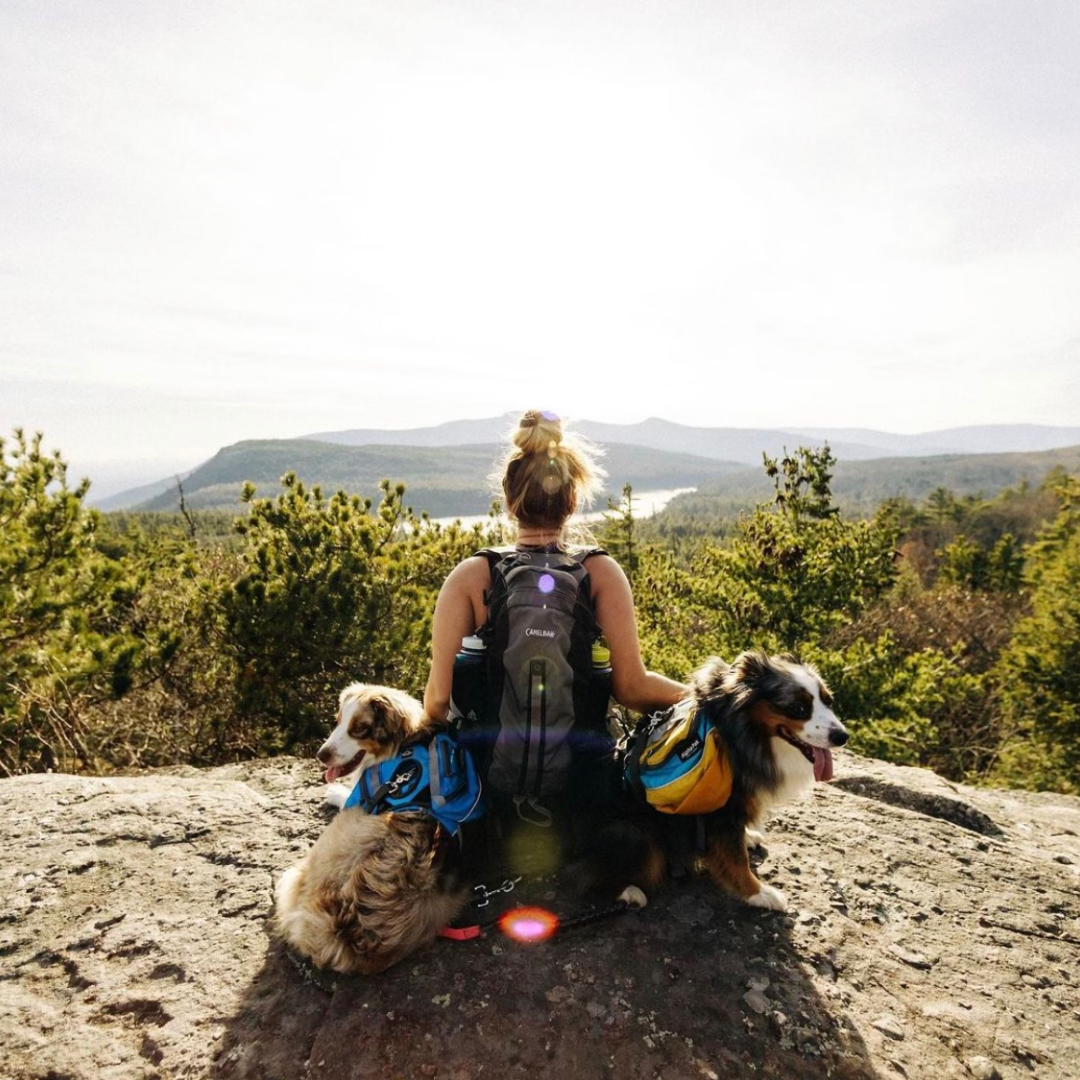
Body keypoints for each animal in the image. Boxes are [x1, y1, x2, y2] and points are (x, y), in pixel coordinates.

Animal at [270, 682, 473, 980]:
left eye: (359, 729)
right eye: (337, 721)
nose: (321, 755)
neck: (405, 744)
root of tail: (346, 930)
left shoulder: (360, 800)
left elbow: (347, 795)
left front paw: (335, 791)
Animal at [578, 648, 846, 911]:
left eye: (829, 702)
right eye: (798, 708)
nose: (843, 736)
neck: (741, 732)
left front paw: (748, 837)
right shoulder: (721, 812)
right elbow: (736, 859)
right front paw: (759, 893)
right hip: (632, 834)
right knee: (592, 880)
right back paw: (629, 892)